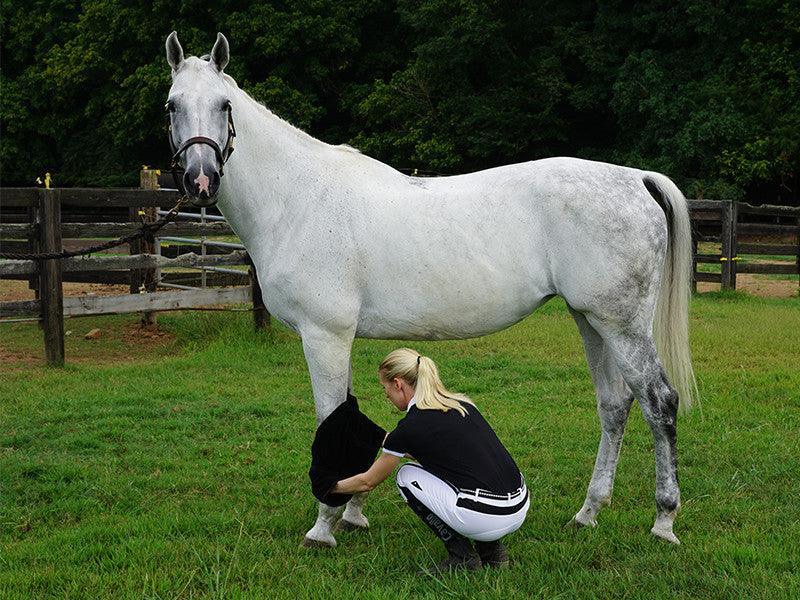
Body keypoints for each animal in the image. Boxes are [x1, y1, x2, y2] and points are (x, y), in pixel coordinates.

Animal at [165, 32, 697, 547]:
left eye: (224, 105)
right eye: (172, 105)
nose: (201, 180)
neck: (298, 198)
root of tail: (635, 178)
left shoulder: (323, 335)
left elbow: (331, 420)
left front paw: (325, 524)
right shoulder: (339, 338)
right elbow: (351, 418)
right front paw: (353, 514)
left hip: (622, 325)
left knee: (659, 403)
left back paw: (663, 520)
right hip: (591, 321)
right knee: (615, 404)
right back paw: (587, 514)